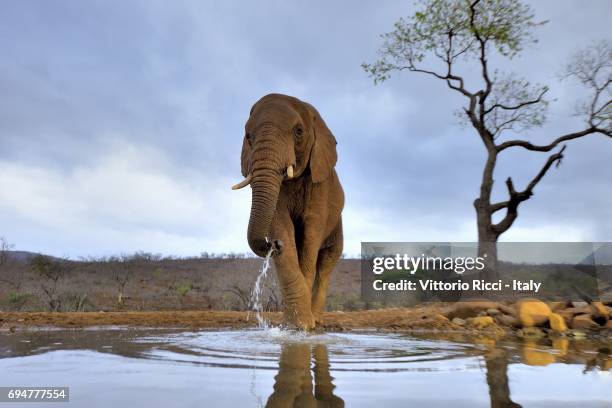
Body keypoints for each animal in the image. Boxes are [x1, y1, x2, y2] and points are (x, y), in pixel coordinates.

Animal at [231, 92, 342, 328]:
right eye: (248, 136)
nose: (274, 244)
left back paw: (317, 320)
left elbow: (311, 234)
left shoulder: (320, 186)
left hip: (338, 224)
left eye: (298, 131)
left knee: (327, 263)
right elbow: (280, 224)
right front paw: (293, 326)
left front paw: (305, 327)